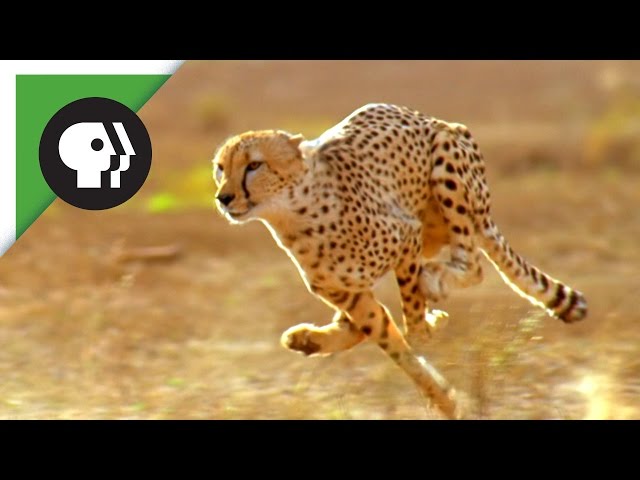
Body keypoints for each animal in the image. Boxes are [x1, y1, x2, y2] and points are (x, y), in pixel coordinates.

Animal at [212, 103, 588, 419]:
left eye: (254, 165)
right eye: (220, 168)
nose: (223, 198)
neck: (291, 214)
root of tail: (434, 119)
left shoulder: (406, 236)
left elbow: (410, 317)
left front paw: (424, 332)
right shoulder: (350, 294)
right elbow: (391, 343)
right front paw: (443, 398)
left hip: (448, 167)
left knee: (471, 262)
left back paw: (435, 284)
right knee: (362, 323)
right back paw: (308, 339)